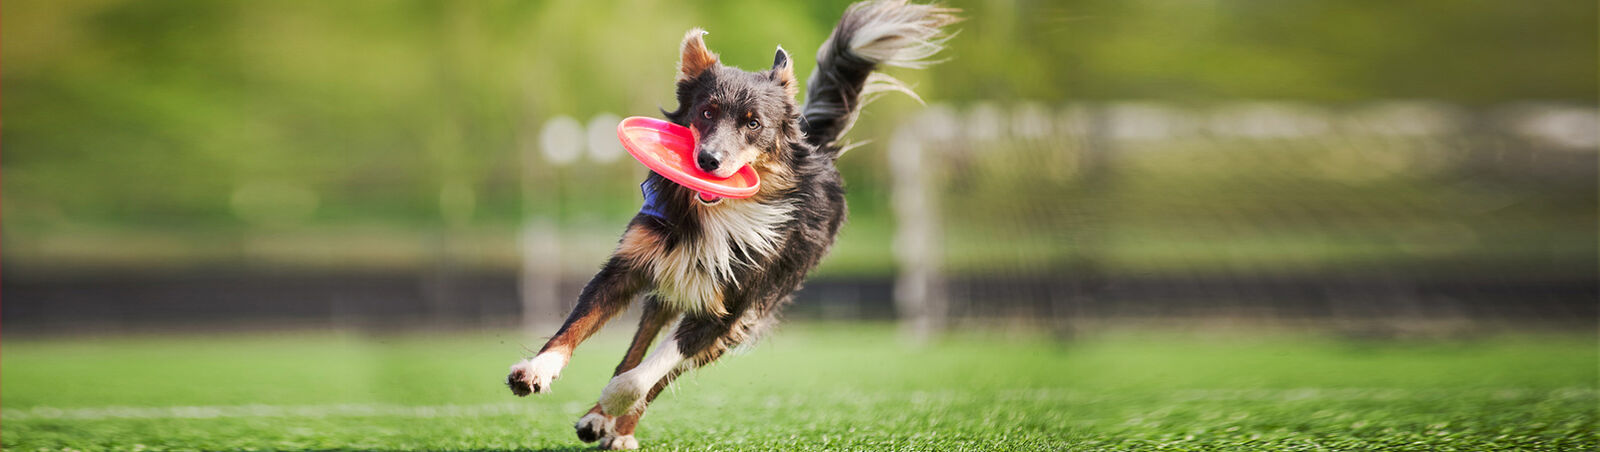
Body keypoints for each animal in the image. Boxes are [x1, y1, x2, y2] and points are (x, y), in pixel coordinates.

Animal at [505, 1, 953, 448]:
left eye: (753, 123)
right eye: (707, 112)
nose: (707, 161)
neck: (714, 215)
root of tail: (816, 146)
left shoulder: (729, 310)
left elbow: (647, 374)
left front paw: (616, 398)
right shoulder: (629, 266)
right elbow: (578, 324)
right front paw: (537, 370)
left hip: (749, 311)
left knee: (660, 373)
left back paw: (619, 425)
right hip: (668, 290)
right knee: (640, 344)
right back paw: (598, 419)